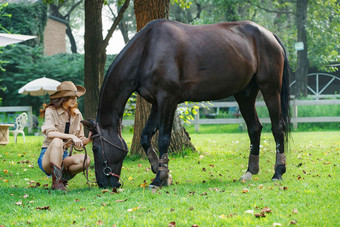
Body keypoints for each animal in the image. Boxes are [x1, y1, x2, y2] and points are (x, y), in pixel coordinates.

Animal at [81, 19, 290, 188]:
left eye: (96, 148)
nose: (102, 183)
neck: (147, 51)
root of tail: (270, 35)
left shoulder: (168, 100)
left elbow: (163, 138)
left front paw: (159, 179)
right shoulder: (156, 103)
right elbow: (146, 136)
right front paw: (161, 172)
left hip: (270, 89)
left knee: (277, 128)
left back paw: (278, 172)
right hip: (245, 94)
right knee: (254, 128)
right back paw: (249, 172)